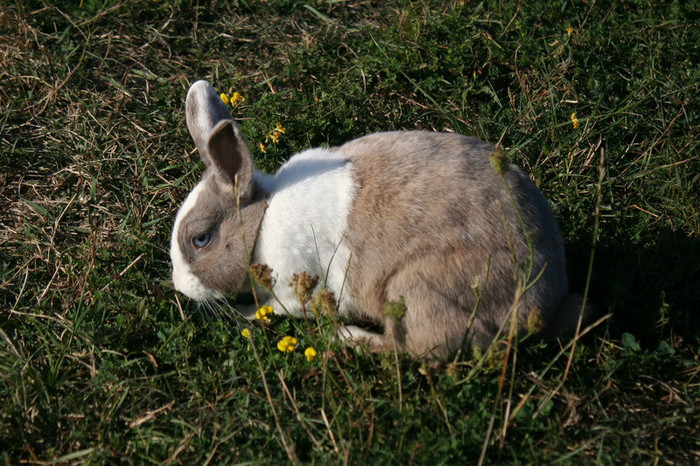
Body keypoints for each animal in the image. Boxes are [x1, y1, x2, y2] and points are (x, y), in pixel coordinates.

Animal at [170, 79, 592, 356]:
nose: (180, 288)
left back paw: (347, 338)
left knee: (409, 349)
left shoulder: (293, 291)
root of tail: (543, 302)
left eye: (201, 239)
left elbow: (274, 308)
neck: (261, 223)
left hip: (417, 291)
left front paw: (243, 313)